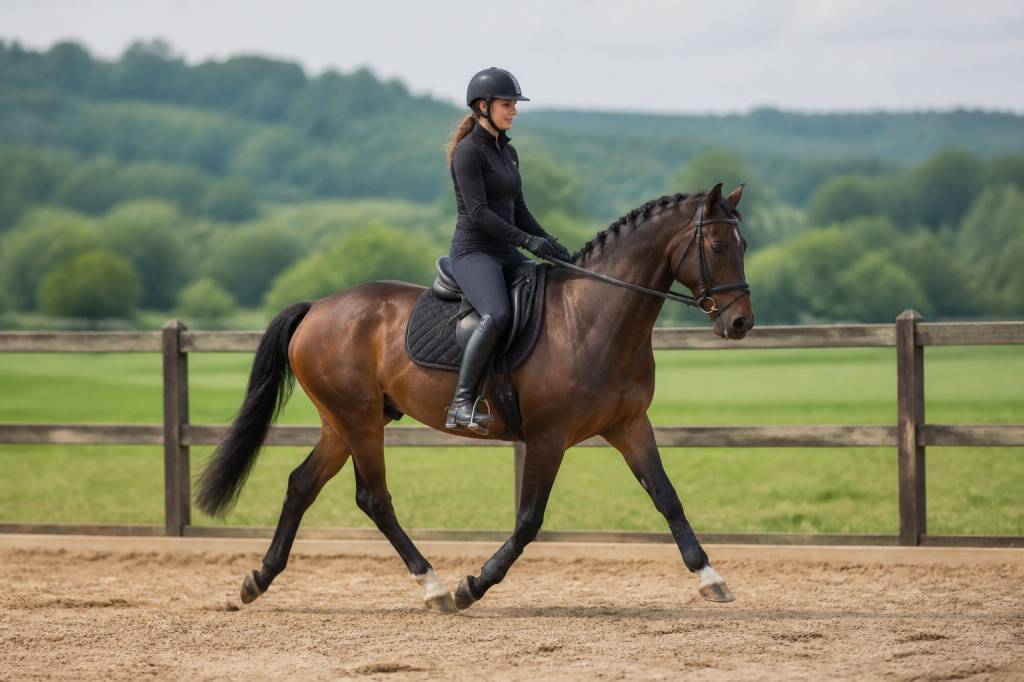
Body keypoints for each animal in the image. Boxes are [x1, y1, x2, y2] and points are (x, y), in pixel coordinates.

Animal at [196, 182, 754, 612]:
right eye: (718, 246)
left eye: (743, 243)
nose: (740, 323)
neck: (592, 319)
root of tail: (317, 307)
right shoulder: (548, 437)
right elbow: (529, 521)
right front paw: (474, 585)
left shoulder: (630, 425)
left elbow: (667, 497)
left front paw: (711, 578)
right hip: (359, 420)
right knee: (373, 498)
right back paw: (436, 587)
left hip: (344, 422)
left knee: (301, 485)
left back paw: (257, 580)